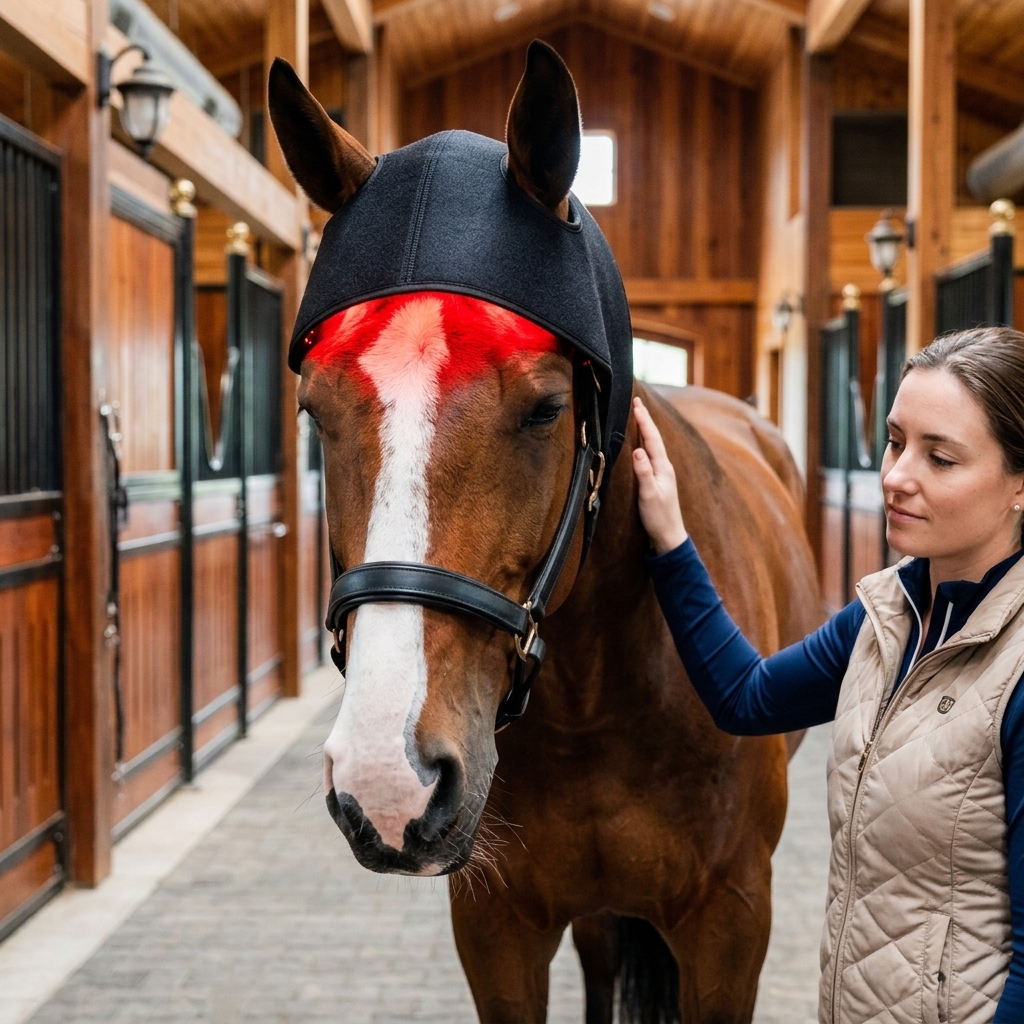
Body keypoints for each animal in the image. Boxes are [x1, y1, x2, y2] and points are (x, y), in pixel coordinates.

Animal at [268, 41, 821, 1024]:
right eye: (312, 411)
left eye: (546, 407)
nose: (387, 778)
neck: (597, 695)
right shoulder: (498, 928)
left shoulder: (731, 925)